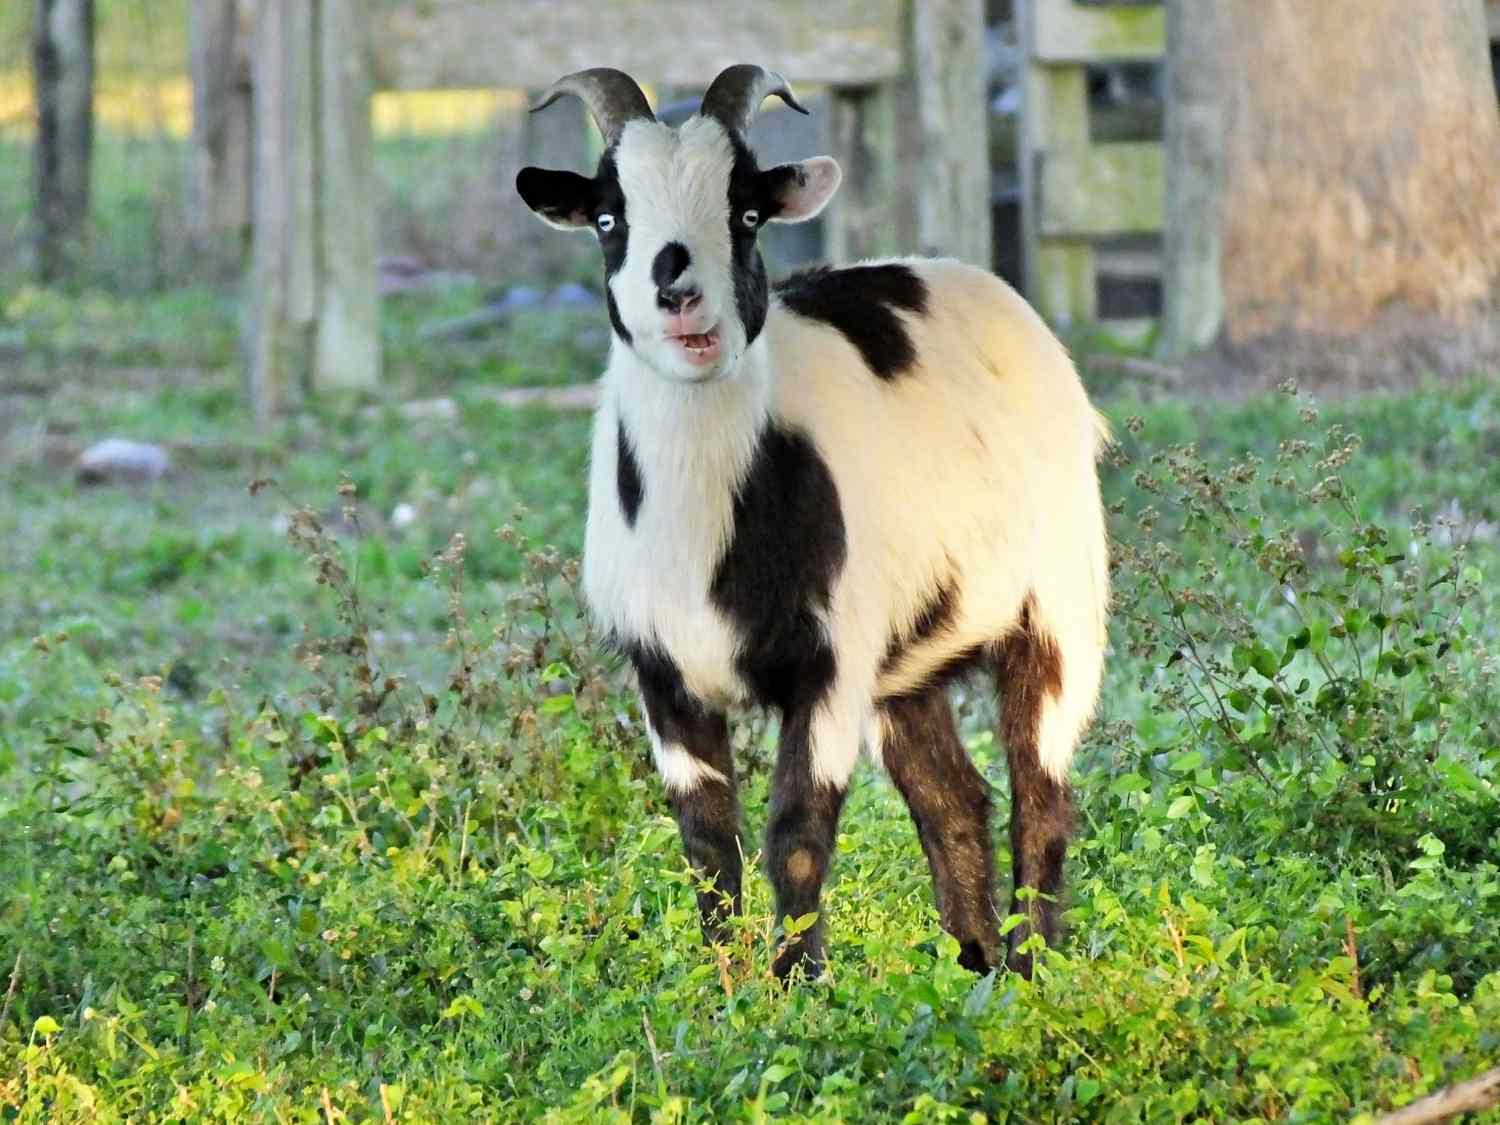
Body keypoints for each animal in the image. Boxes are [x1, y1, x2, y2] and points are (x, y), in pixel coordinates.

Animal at [516, 66, 1110, 980]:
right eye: (610, 219)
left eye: (747, 215)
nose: (679, 296)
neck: (702, 534)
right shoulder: (661, 672)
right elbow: (707, 842)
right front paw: (722, 985)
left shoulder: (828, 661)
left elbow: (794, 832)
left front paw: (798, 985)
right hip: (907, 663)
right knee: (951, 796)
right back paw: (972, 967)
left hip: (1058, 601)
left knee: (1039, 790)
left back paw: (1028, 968)